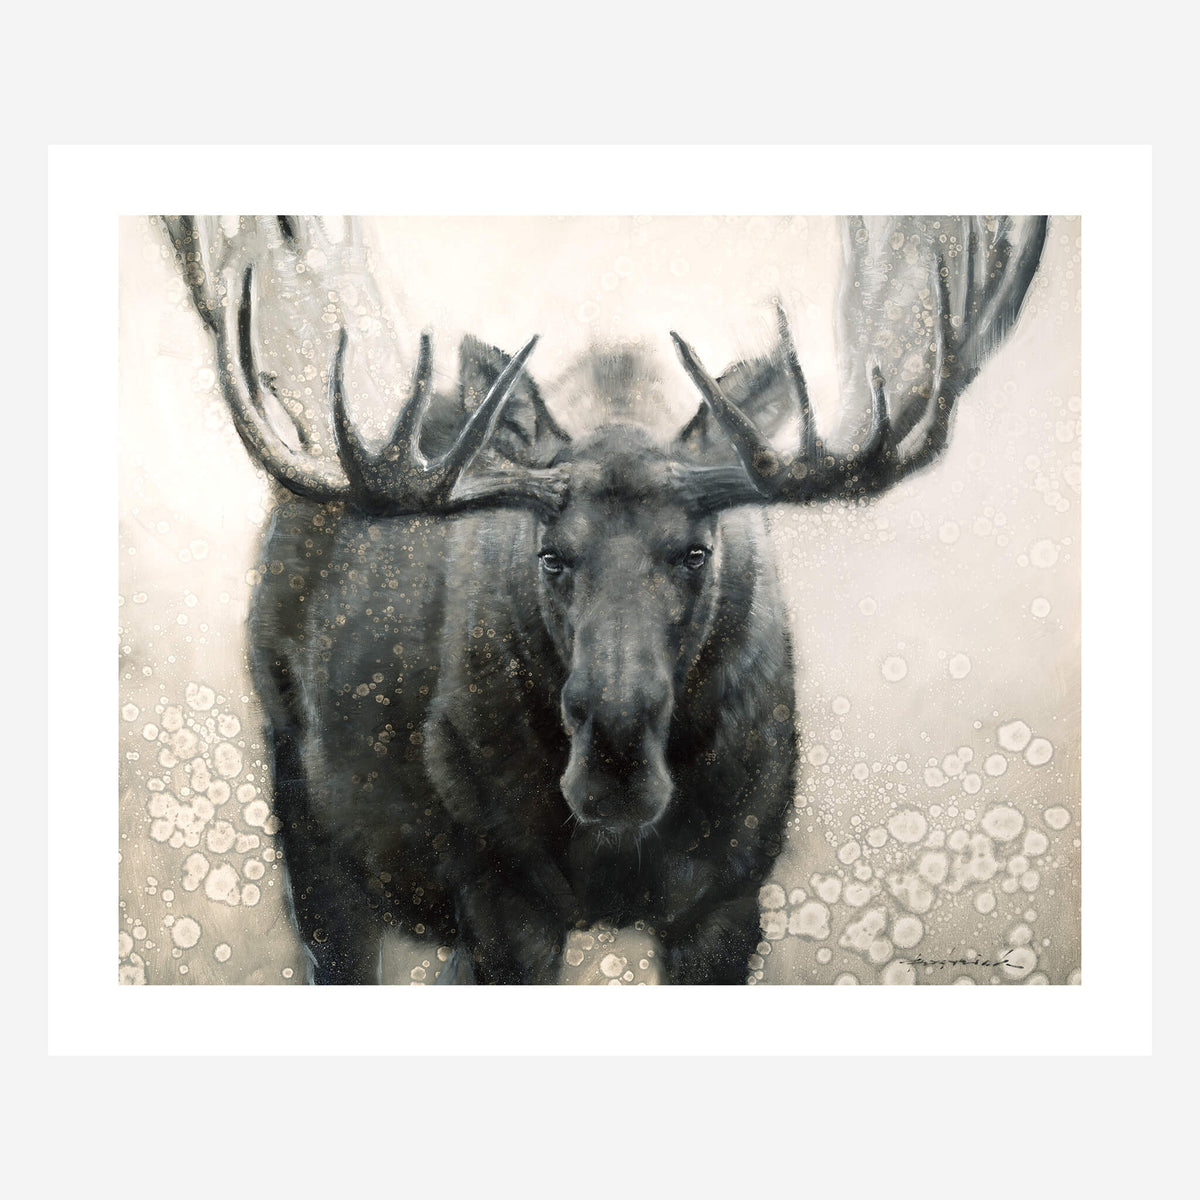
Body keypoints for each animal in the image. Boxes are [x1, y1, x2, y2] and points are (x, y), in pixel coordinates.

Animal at [161, 214, 1048, 984]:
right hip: (305, 813)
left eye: (695, 551)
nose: (615, 757)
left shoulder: (729, 899)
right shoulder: (500, 893)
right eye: (551, 556)